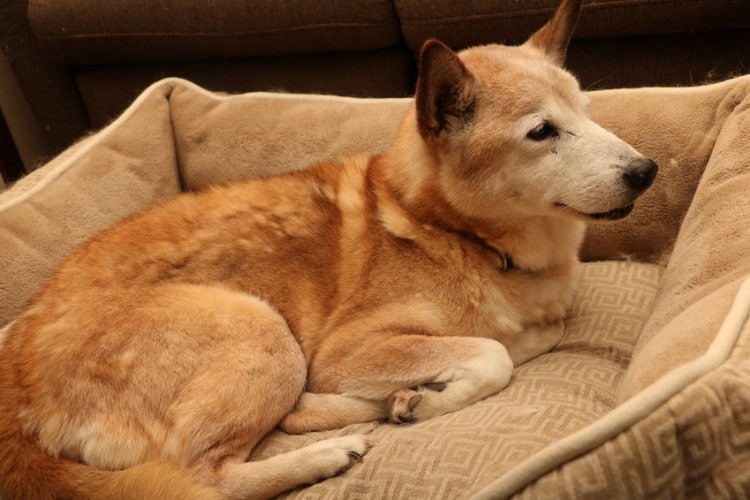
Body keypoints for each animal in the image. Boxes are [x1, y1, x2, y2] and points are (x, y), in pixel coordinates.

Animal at [0, 0, 656, 498]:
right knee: (209, 475)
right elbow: (494, 353)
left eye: (589, 113)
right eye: (542, 132)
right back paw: (330, 451)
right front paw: (435, 397)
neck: (458, 234)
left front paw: (428, 388)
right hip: (263, 333)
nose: (647, 171)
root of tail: (16, 395)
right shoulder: (349, 349)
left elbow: (533, 334)